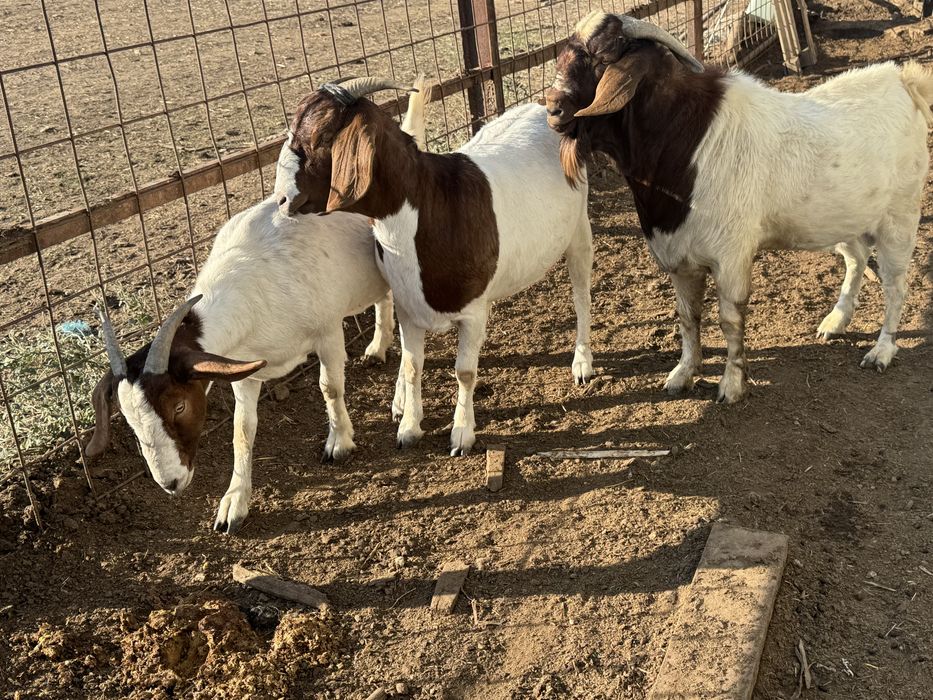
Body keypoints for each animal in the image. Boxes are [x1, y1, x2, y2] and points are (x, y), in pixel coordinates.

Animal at [87, 202, 395, 534]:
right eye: (128, 420)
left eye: (179, 406)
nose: (171, 483)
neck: (256, 275)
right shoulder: (246, 368)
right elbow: (242, 429)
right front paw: (233, 503)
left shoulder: (328, 333)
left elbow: (331, 387)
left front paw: (339, 443)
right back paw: (378, 347)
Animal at [275, 76, 594, 456]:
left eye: (321, 137)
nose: (281, 200)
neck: (431, 205)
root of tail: (540, 110)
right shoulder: (409, 308)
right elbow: (413, 365)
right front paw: (409, 428)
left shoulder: (472, 312)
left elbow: (465, 372)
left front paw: (461, 434)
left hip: (578, 228)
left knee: (581, 294)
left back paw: (582, 363)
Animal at [545, 12, 933, 403]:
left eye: (601, 58)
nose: (552, 109)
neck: (684, 143)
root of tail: (903, 81)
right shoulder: (679, 257)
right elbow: (687, 317)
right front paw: (683, 373)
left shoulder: (731, 256)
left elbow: (729, 320)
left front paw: (731, 385)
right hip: (846, 217)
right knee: (856, 258)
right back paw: (834, 322)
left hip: (900, 217)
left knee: (896, 285)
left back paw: (881, 351)